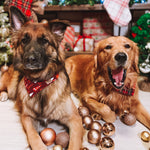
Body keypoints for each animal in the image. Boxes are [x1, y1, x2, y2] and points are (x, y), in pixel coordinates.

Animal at [0, 6, 82, 150]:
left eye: (44, 41)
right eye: (24, 40)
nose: (30, 59)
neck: (39, 83)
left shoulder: (75, 119)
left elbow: (74, 144)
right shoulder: (26, 117)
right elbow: (34, 137)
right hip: (11, 84)